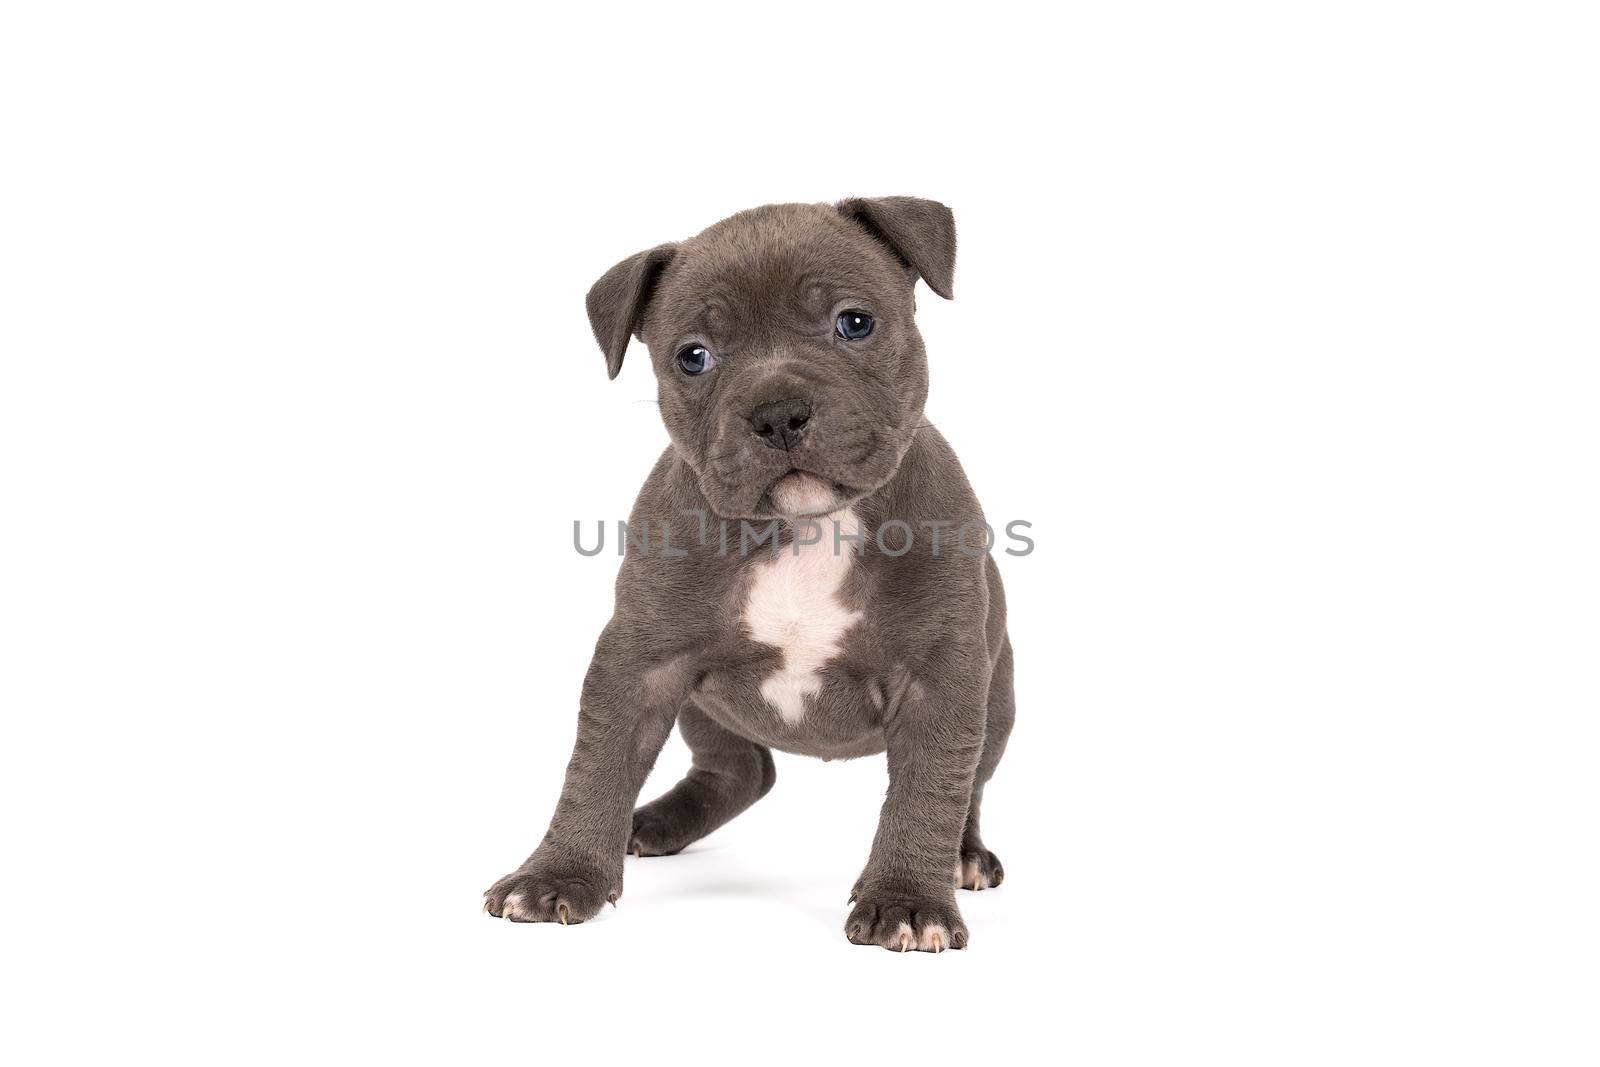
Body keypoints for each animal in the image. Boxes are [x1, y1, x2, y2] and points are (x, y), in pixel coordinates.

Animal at [480, 198, 1017, 953]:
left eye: (855, 323)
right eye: (693, 357)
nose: (777, 413)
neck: (803, 528)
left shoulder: (939, 679)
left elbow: (929, 789)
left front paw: (909, 899)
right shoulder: (641, 663)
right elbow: (597, 765)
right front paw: (559, 873)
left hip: (998, 700)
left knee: (968, 786)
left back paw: (964, 854)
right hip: (701, 703)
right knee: (742, 770)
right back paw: (652, 823)